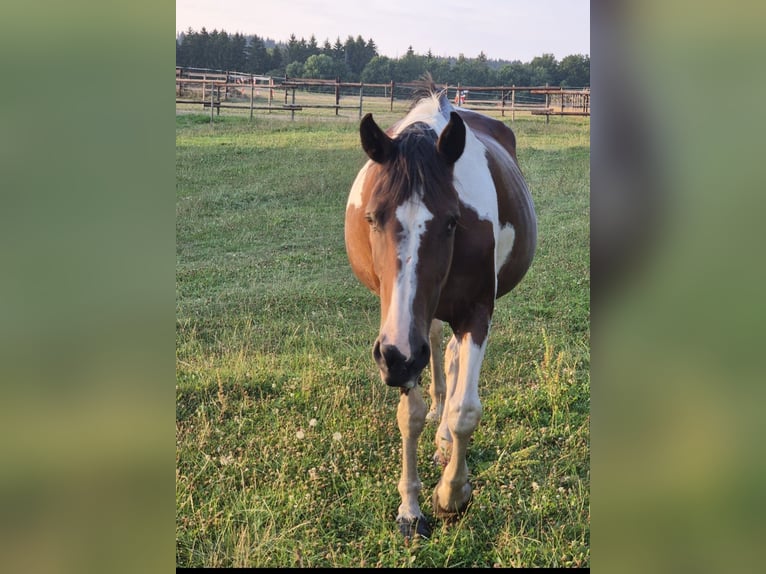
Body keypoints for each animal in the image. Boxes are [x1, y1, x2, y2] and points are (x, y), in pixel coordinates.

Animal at [344, 81, 537, 539]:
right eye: (372, 217)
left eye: (452, 221)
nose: (400, 358)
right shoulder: (398, 333)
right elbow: (410, 416)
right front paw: (410, 510)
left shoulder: (477, 313)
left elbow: (466, 410)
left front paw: (452, 494)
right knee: (435, 347)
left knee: (448, 356)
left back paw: (445, 438)